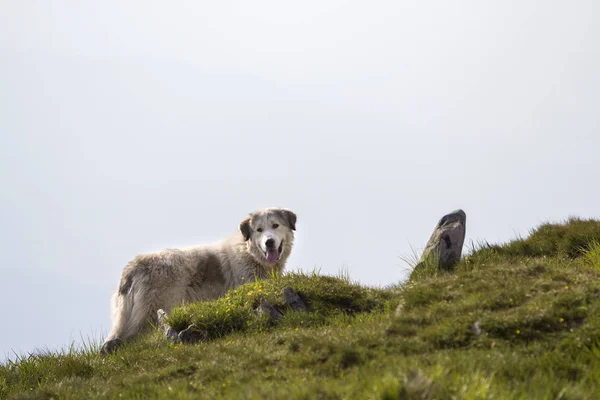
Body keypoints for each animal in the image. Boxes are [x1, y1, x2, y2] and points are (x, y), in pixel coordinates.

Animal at [101, 208, 298, 354]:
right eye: (259, 230)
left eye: (275, 225)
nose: (269, 242)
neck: (249, 253)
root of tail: (134, 266)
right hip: (148, 315)